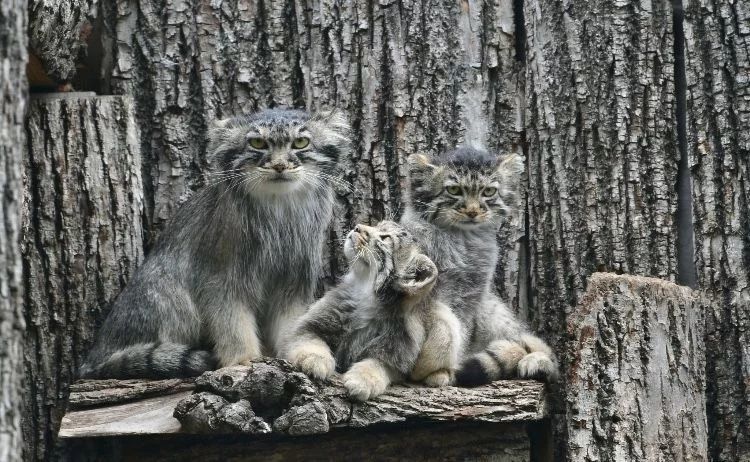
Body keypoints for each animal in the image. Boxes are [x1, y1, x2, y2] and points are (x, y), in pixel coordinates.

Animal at [81, 109, 352, 378]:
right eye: (257, 143)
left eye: (300, 142)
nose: (279, 165)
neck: (279, 210)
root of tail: (93, 359)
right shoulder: (221, 279)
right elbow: (233, 325)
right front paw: (244, 360)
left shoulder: (293, 280)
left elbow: (294, 323)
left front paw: (305, 355)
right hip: (167, 294)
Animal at [406, 147, 560, 382]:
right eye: (453, 190)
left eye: (488, 191)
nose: (472, 211)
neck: (461, 240)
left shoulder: (471, 295)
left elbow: (461, 330)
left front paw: (447, 369)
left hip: (493, 312)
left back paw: (536, 361)